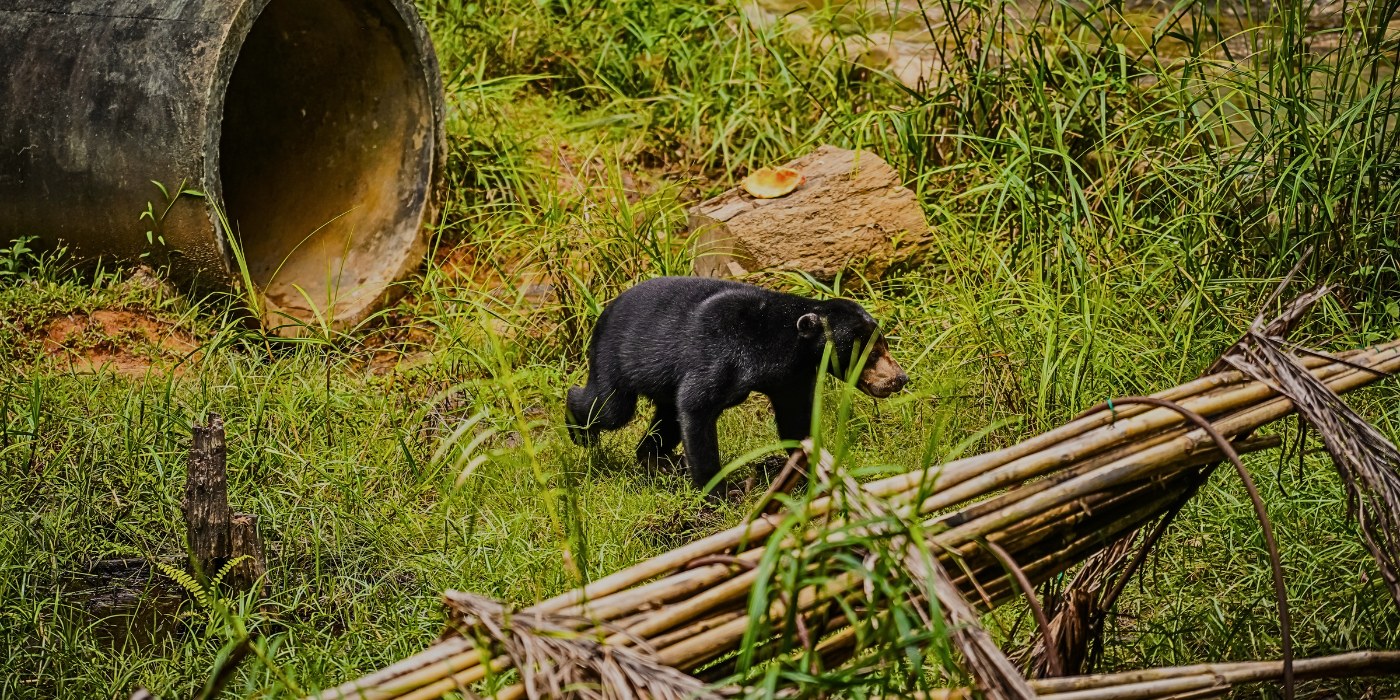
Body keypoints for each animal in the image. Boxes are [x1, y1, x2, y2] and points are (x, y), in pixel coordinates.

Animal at [565, 276, 908, 495]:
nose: (900, 378)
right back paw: (581, 432)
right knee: (609, 407)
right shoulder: (719, 351)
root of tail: (604, 312)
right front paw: (721, 490)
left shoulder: (792, 378)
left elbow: (796, 424)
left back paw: (658, 462)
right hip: (615, 358)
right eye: (871, 353)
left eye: (883, 345)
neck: (784, 345)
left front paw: (816, 471)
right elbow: (696, 408)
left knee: (665, 417)